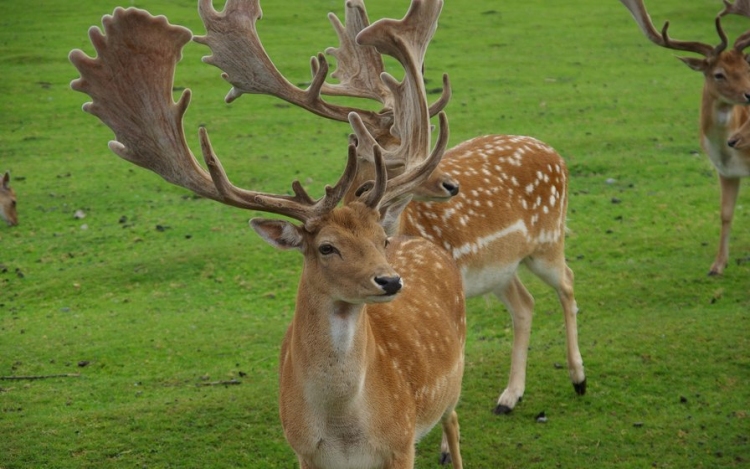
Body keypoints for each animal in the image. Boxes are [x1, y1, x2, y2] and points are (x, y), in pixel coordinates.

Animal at [72, 1, 470, 466]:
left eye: (381, 240)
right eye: (327, 247)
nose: (389, 280)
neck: (345, 433)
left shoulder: (400, 444)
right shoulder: (303, 450)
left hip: (452, 380)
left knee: (453, 422)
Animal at [203, 0, 592, 414]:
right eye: (384, 157)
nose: (451, 185)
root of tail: (555, 155)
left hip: (548, 241)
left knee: (567, 282)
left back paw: (578, 378)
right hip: (503, 269)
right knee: (525, 303)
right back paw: (510, 395)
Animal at [620, 0, 750, 276]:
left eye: (747, 69)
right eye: (719, 74)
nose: (749, 94)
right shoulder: (725, 172)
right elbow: (725, 213)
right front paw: (717, 266)